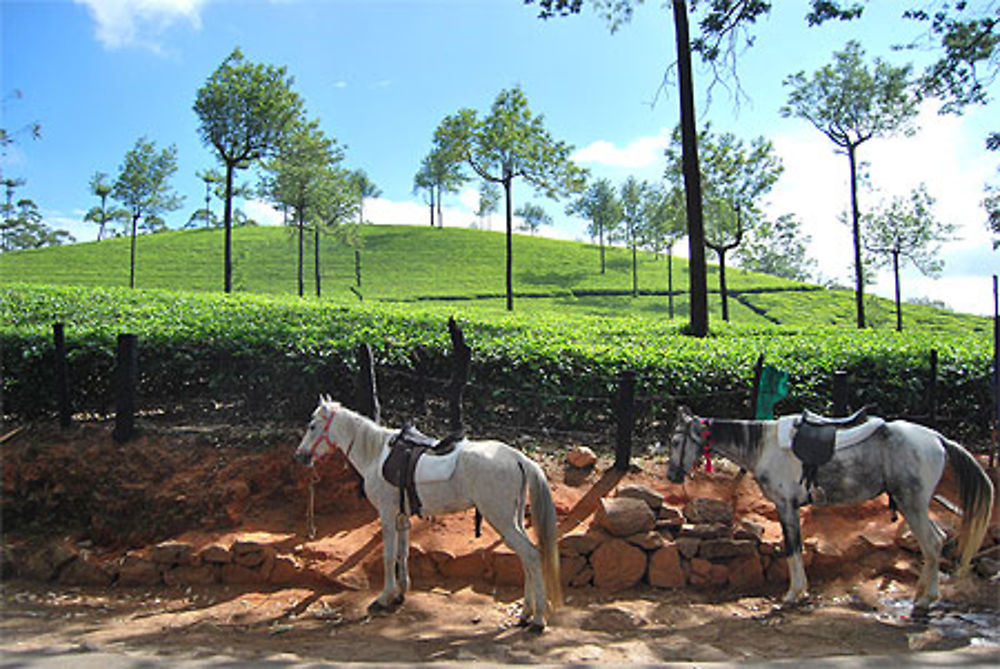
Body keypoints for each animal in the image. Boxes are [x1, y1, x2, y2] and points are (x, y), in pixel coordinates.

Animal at [294, 396, 564, 632]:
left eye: (312, 426)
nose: (300, 456)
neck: (375, 454)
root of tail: (518, 458)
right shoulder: (402, 517)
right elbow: (402, 554)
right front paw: (400, 593)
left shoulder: (387, 514)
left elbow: (388, 556)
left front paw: (384, 597)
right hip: (514, 520)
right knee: (526, 559)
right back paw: (526, 613)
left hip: (502, 520)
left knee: (531, 555)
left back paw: (537, 619)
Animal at [664, 404, 992, 608]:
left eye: (675, 441)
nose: (671, 475)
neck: (764, 446)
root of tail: (937, 438)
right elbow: (795, 547)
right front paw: (800, 591)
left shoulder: (786, 505)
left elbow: (792, 548)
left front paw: (794, 593)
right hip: (916, 504)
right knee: (935, 540)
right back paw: (923, 593)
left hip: (912, 503)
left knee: (932, 542)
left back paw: (927, 597)